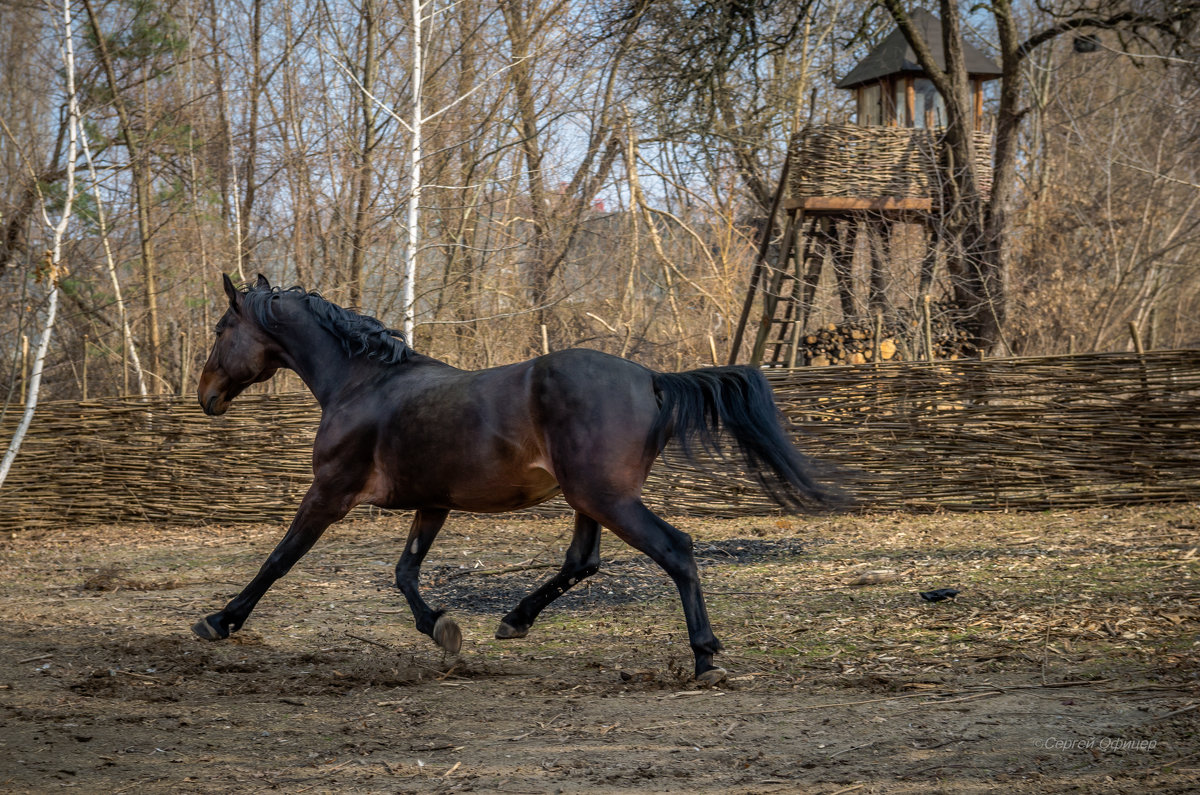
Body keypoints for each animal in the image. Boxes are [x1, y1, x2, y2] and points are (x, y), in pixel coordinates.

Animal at [194, 276, 835, 686]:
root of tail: (652, 378)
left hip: (606, 497)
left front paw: (219, 621)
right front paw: (443, 629)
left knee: (675, 549)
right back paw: (514, 620)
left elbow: (279, 559)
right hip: (589, 499)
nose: (206, 398)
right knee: (582, 561)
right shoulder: (432, 503)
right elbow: (404, 573)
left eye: (222, 327)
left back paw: (706, 659)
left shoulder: (329, 493)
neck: (361, 383)